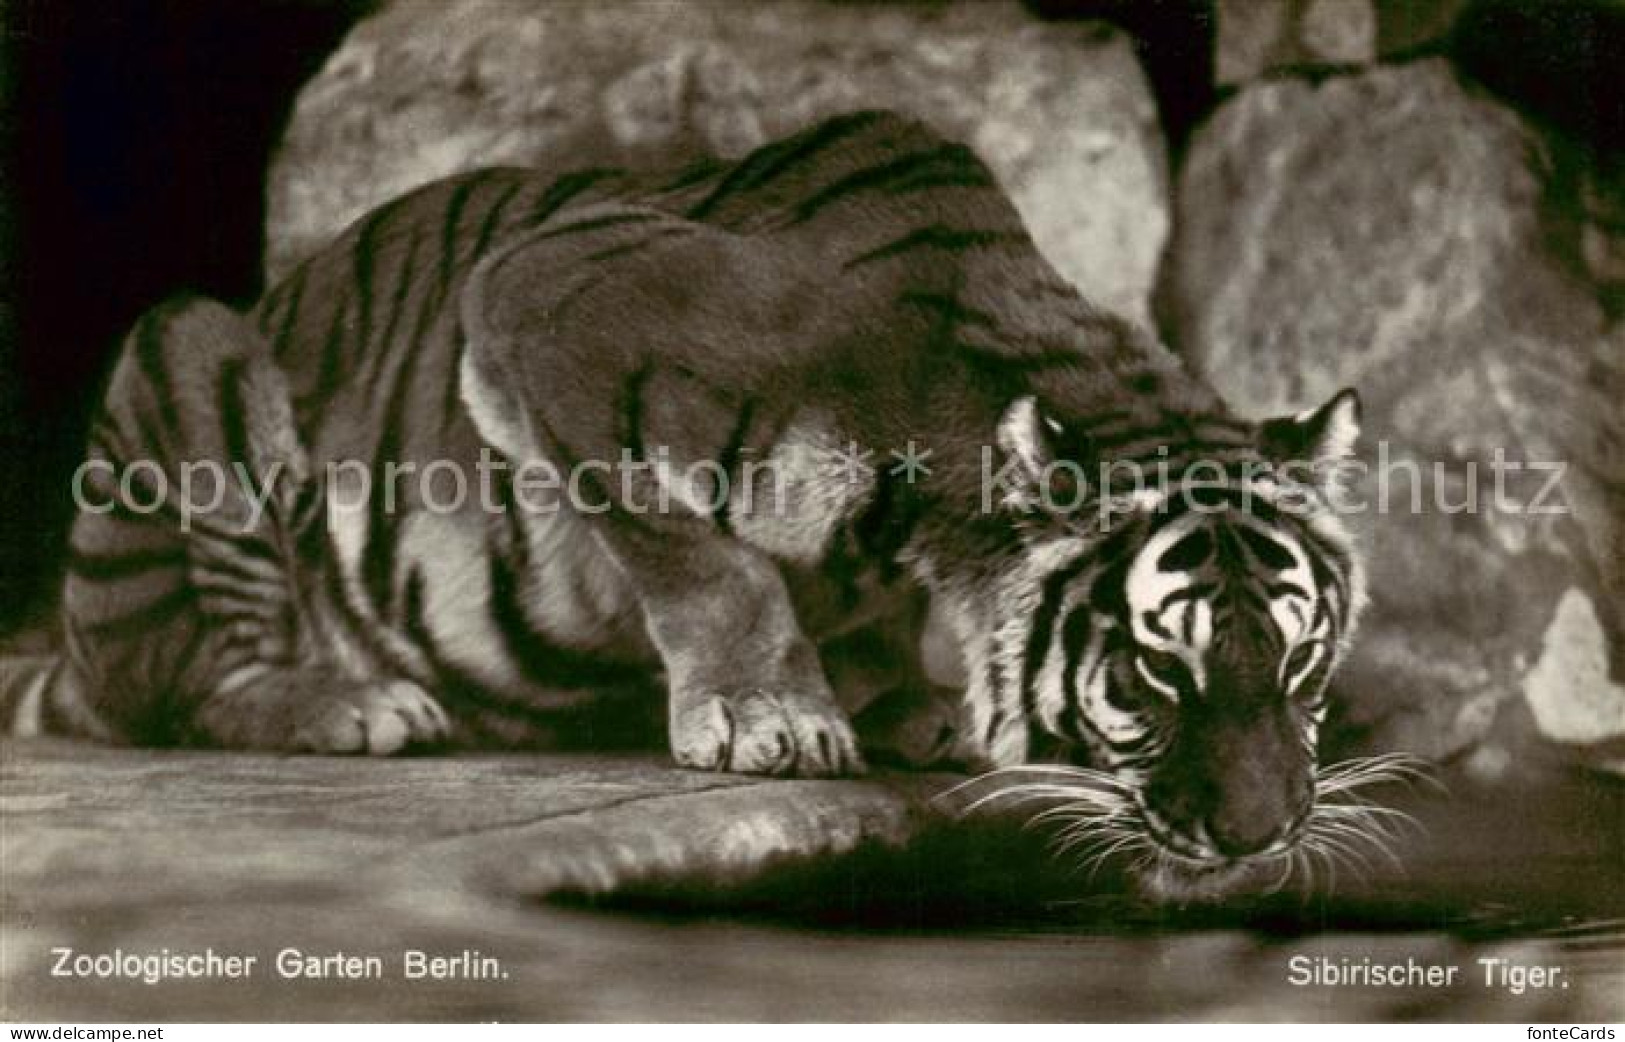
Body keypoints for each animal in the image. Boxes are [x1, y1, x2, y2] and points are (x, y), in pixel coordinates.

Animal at [6, 109, 1378, 897]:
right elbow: (704, 562)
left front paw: (900, 702)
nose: (1262, 838)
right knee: (181, 677)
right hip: (191, 354)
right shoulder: (540, 302)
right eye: (1152, 673)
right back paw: (350, 702)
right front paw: (774, 718)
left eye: (1300, 661)